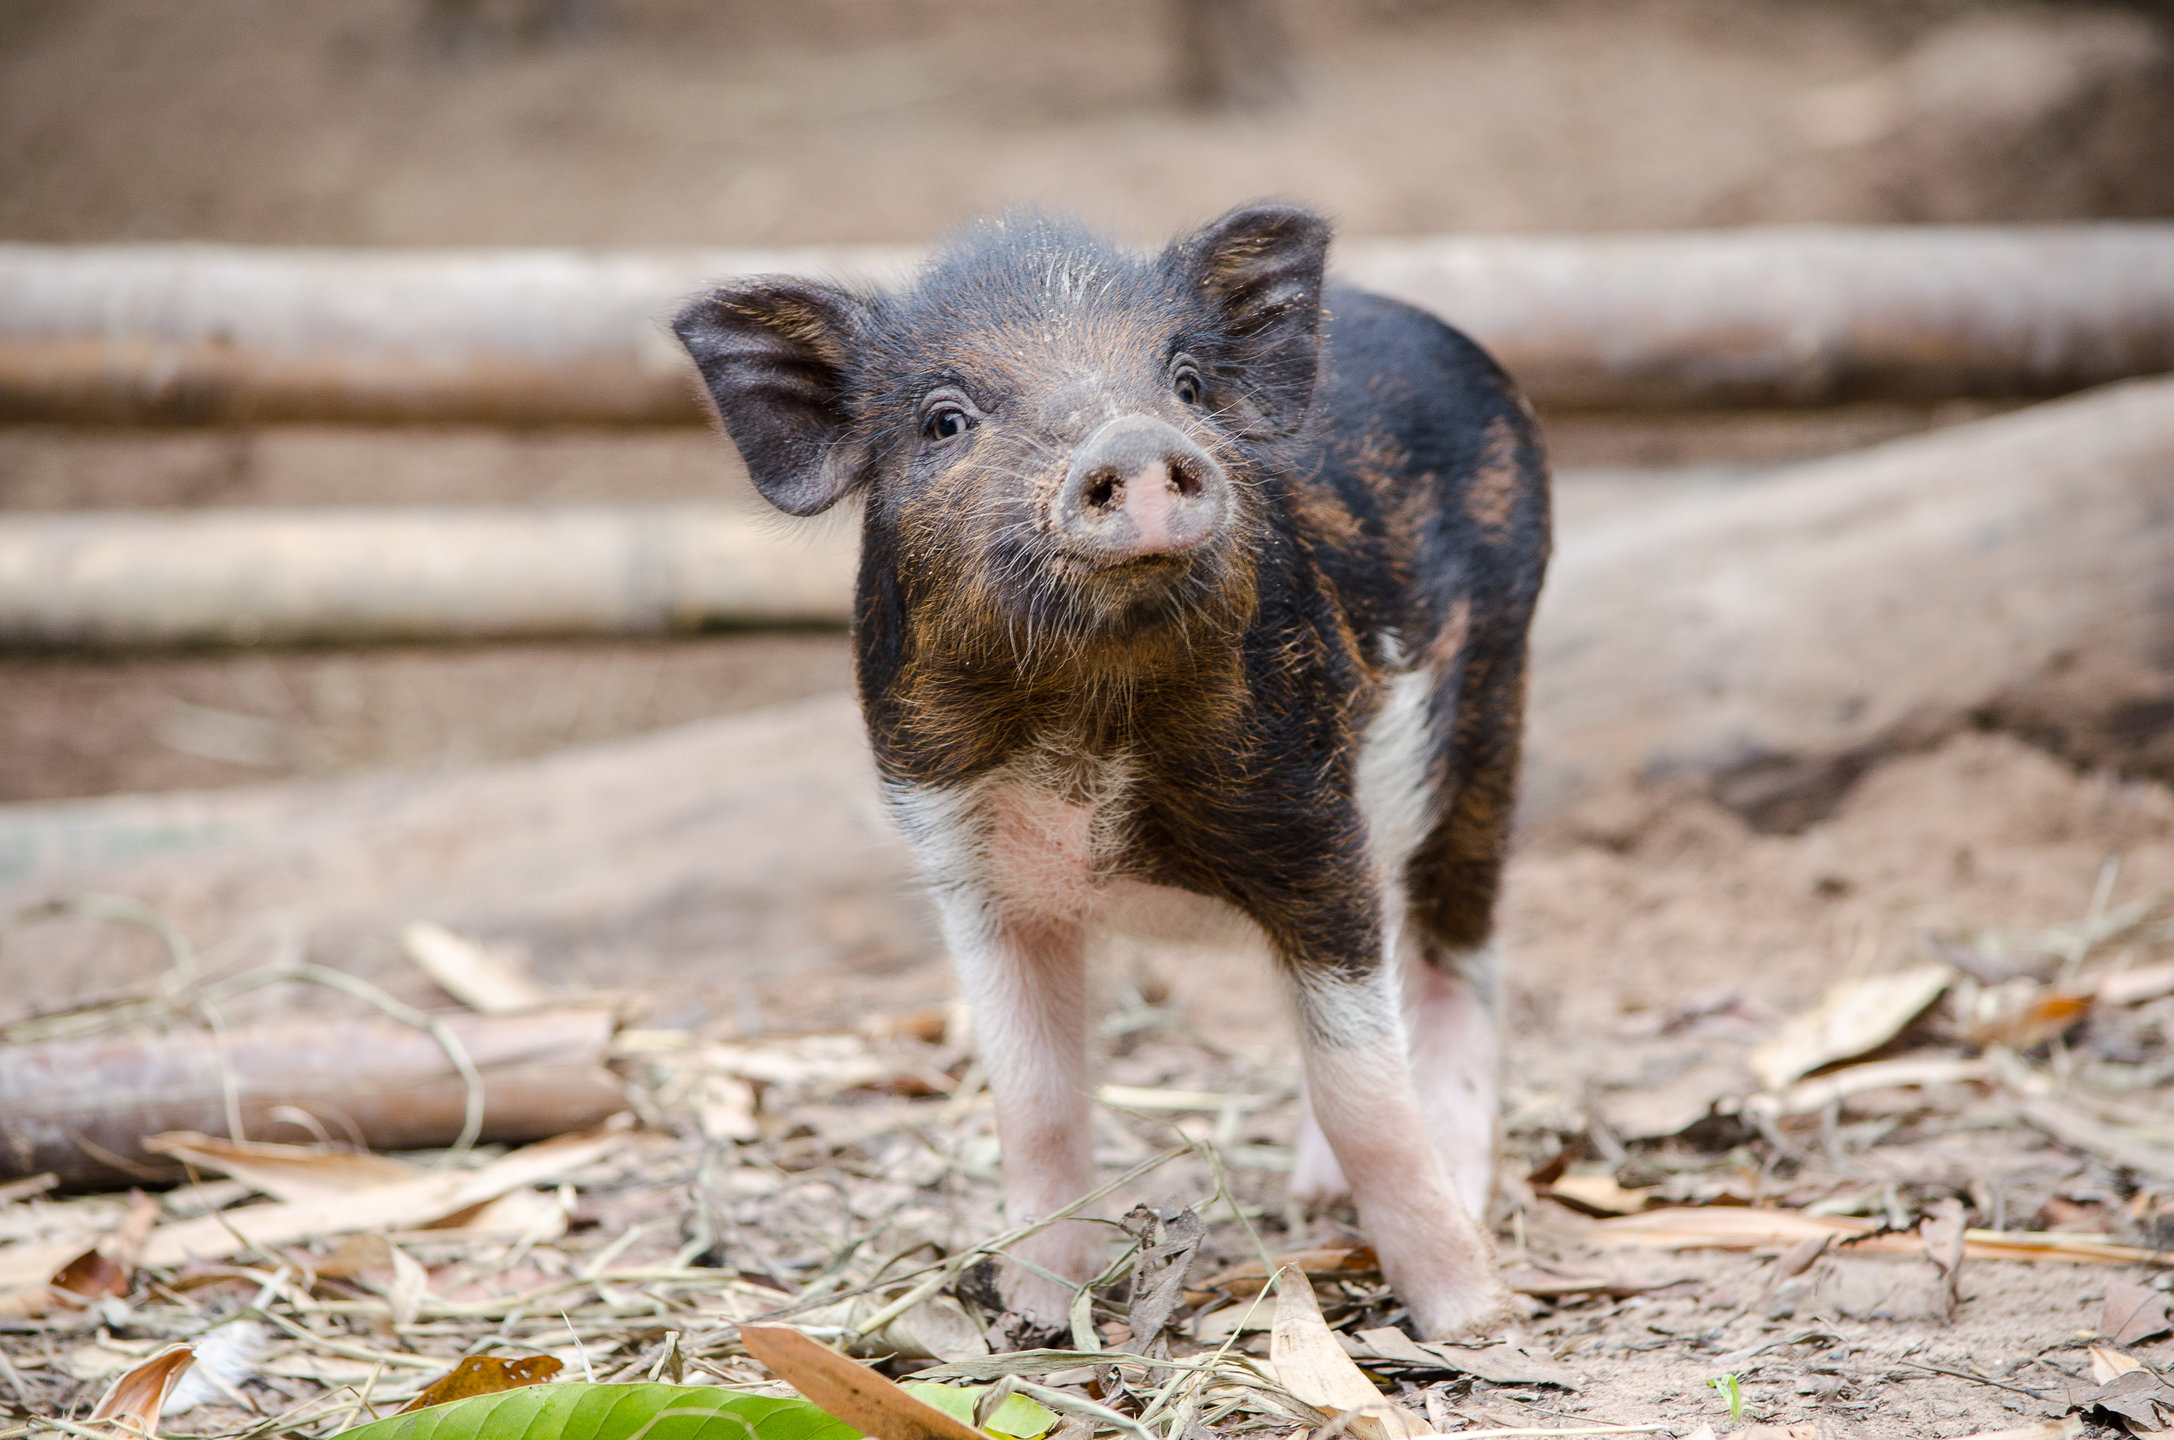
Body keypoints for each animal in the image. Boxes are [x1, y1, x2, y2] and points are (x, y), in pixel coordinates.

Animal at [673, 203, 1549, 1340]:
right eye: (944, 419)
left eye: (1185, 384)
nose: (1132, 443)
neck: (1085, 738)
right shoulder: (970, 864)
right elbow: (1033, 1099)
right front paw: (1034, 1310)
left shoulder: (1310, 826)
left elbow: (1361, 1095)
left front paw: (1473, 1319)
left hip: (1491, 704)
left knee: (1458, 954)